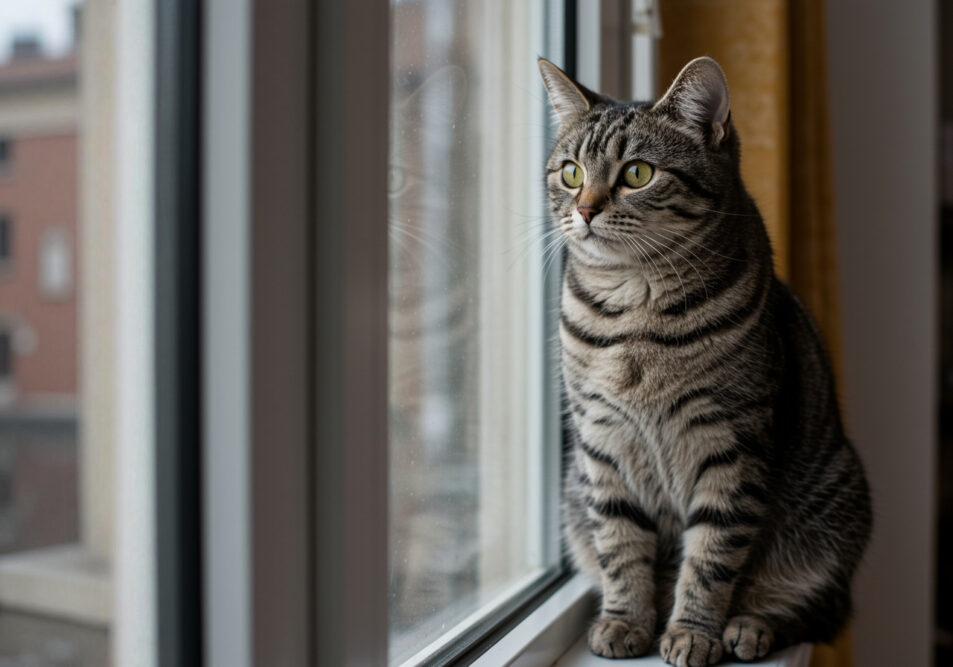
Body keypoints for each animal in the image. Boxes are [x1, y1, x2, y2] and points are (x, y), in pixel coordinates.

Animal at [536, 58, 872, 667]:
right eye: (571, 173)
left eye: (637, 173)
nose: (585, 209)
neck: (634, 313)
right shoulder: (601, 442)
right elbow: (620, 545)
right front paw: (625, 621)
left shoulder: (730, 446)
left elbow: (711, 558)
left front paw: (692, 633)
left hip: (836, 508)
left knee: (808, 607)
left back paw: (748, 627)